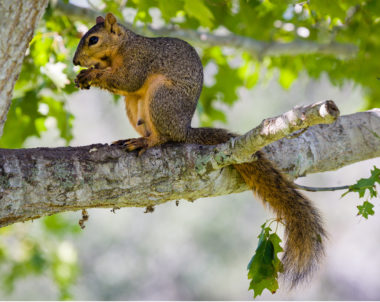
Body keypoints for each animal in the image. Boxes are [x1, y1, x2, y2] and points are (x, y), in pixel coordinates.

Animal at [72, 13, 326, 286]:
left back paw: (147, 142)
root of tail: (185, 129)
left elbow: (127, 80)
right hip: (134, 105)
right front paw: (85, 74)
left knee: (165, 137)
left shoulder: (138, 60)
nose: (76, 61)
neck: (121, 47)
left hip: (162, 97)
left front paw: (91, 74)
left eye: (93, 39)